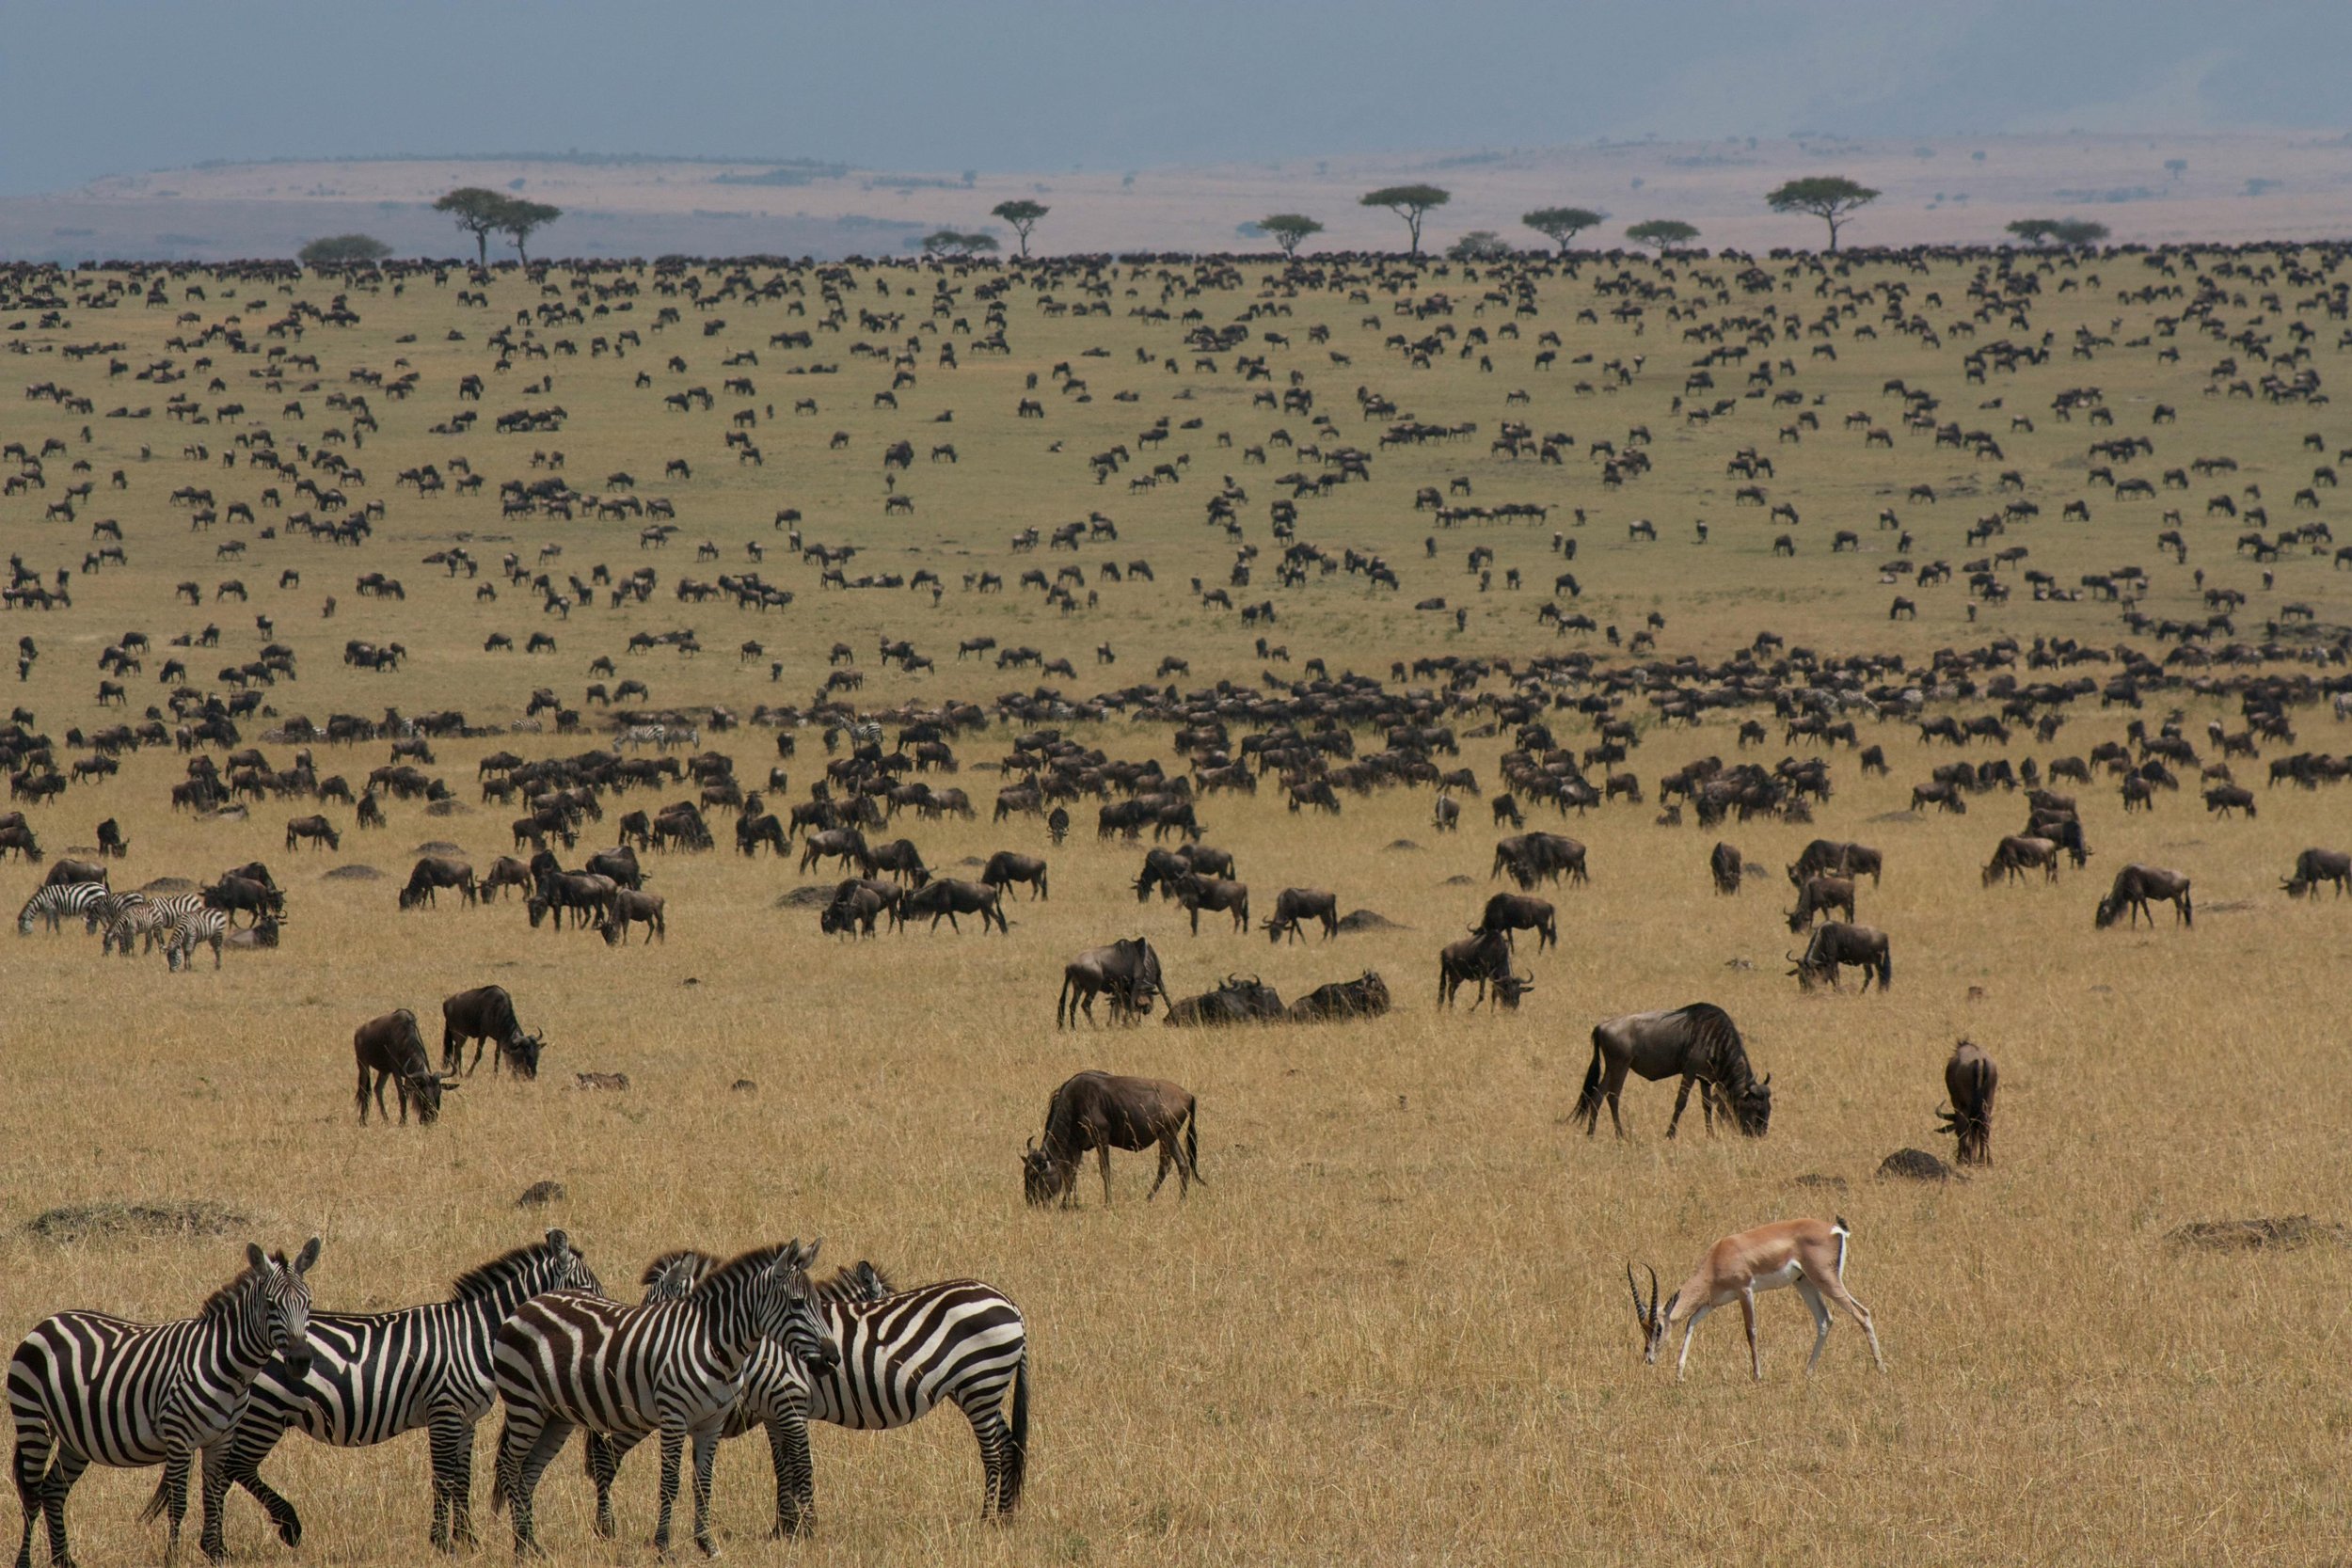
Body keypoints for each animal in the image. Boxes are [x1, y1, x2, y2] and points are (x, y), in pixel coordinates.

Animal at [1628, 1216, 1885, 1382]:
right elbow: (1691, 1323)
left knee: (1862, 1312)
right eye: (1643, 1329)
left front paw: (1757, 1375)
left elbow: (1750, 1330)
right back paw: (1808, 1373)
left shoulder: (1744, 1290)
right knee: (1825, 1319)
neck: (1718, 1258)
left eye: (1658, 1328)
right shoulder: (1712, 1302)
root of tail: (1836, 1230)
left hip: (1825, 1279)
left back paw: (1880, 1369)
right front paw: (1679, 1375)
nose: (1648, 1357)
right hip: (1804, 1282)